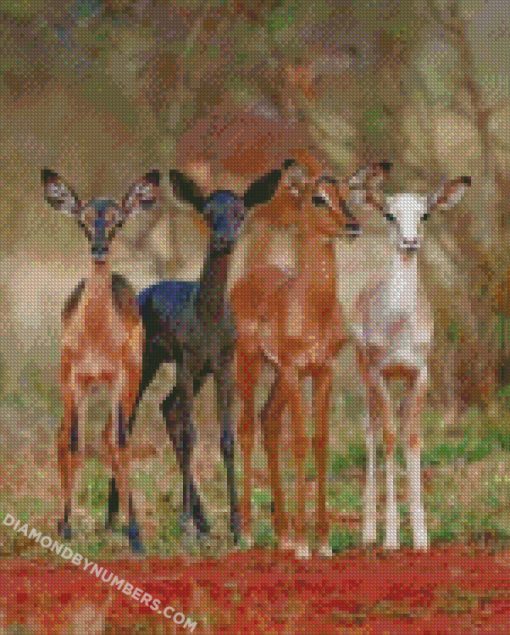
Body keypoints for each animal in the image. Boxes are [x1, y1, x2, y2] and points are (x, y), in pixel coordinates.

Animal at [41, 168, 160, 553]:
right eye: (82, 220)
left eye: (118, 221)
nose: (99, 248)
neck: (95, 335)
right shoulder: (73, 379)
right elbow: (75, 443)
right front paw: (65, 527)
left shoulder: (121, 378)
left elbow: (120, 442)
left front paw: (135, 533)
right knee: (64, 434)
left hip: (129, 383)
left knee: (113, 436)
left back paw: (117, 523)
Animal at [117, 166, 284, 545]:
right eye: (208, 214)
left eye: (240, 212)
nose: (224, 240)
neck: (206, 319)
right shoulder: (186, 361)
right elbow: (192, 435)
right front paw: (184, 526)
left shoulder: (221, 366)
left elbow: (226, 437)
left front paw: (236, 526)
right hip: (147, 363)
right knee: (127, 423)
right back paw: (129, 526)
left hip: (193, 374)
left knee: (166, 408)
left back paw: (203, 520)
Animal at [230, 162, 391, 559]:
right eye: (318, 198)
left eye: (346, 195)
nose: (352, 225)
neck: (311, 303)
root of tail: (248, 277)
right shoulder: (293, 368)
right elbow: (300, 442)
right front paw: (305, 545)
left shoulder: (322, 371)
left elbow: (320, 441)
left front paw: (323, 542)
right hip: (250, 364)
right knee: (246, 428)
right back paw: (248, 534)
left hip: (278, 375)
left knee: (269, 420)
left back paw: (283, 534)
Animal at [351, 174, 472, 551]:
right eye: (389, 214)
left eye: (425, 214)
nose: (410, 241)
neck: (400, 324)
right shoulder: (380, 373)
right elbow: (390, 438)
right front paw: (391, 537)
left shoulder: (420, 374)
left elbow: (413, 438)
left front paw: (421, 537)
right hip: (364, 375)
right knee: (371, 432)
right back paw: (369, 533)